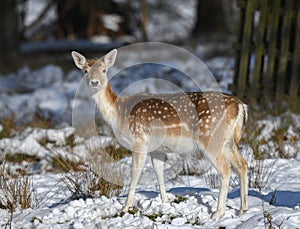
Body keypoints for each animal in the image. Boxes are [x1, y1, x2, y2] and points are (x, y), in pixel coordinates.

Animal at [71, 49, 248, 219]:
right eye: (85, 70)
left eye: (104, 70)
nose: (95, 82)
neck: (118, 113)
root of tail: (240, 106)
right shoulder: (157, 149)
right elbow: (158, 171)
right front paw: (165, 202)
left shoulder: (139, 140)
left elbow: (135, 173)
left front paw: (126, 207)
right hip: (228, 141)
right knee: (242, 165)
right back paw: (242, 209)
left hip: (210, 136)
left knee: (226, 169)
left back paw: (218, 213)